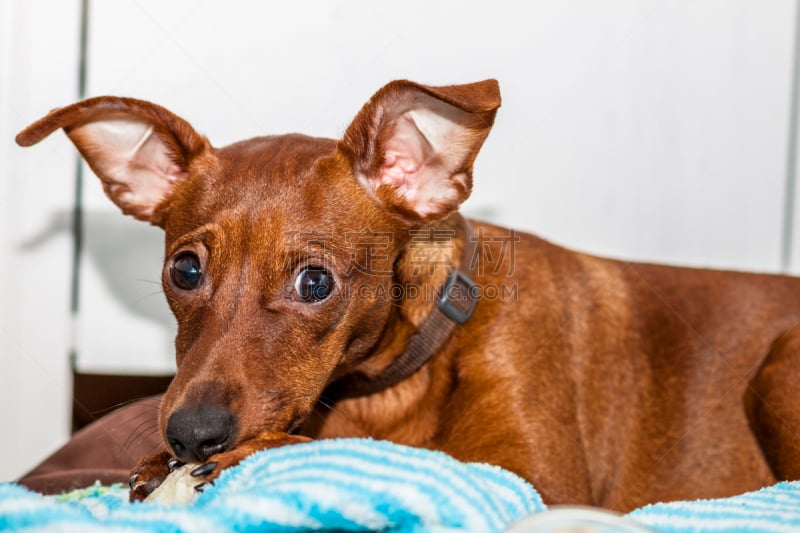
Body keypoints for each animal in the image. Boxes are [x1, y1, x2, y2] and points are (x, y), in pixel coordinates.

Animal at [15, 80, 800, 512]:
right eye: (183, 271)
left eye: (315, 282)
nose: (190, 435)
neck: (396, 384)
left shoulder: (538, 485)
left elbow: (358, 450)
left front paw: (250, 455)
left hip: (776, 369)